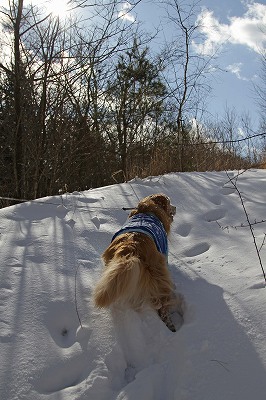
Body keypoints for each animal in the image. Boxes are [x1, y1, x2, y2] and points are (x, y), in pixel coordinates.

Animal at [92, 194, 182, 332]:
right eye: (169, 202)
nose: (176, 207)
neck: (148, 210)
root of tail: (131, 247)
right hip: (159, 277)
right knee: (162, 305)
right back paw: (170, 325)